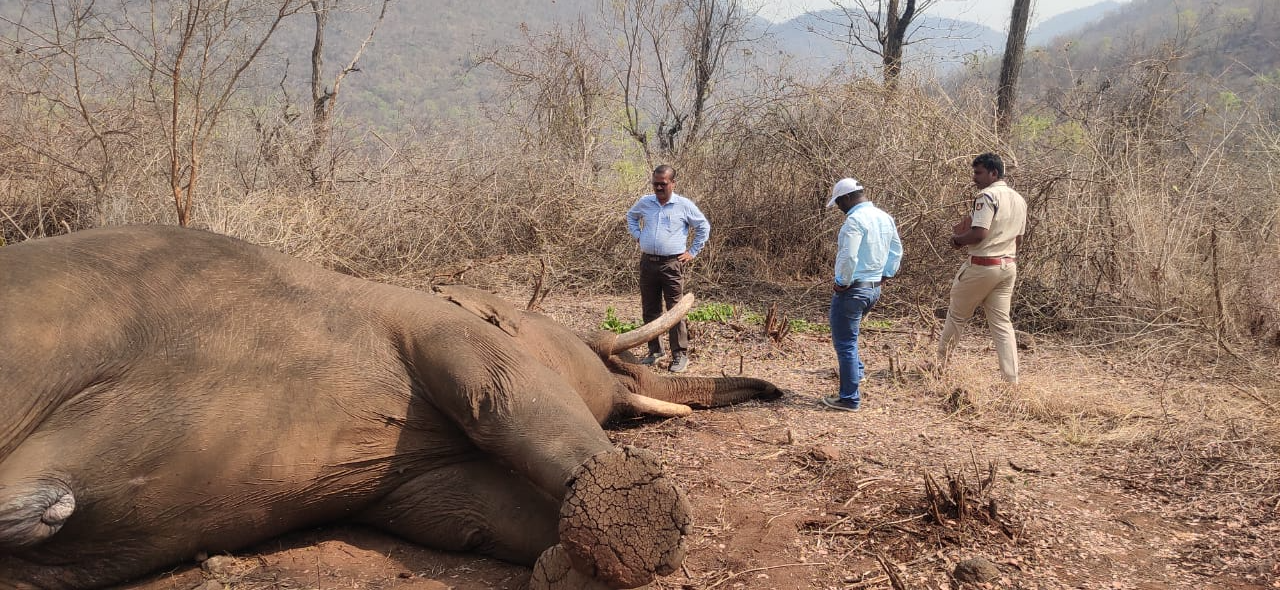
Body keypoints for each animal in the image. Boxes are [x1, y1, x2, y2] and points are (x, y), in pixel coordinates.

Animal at [0, 222, 778, 586]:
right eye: (598, 355)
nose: (773, 391)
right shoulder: (433, 324)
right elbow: (506, 394)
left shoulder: (405, 479)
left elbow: (473, 514)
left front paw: (569, 564)